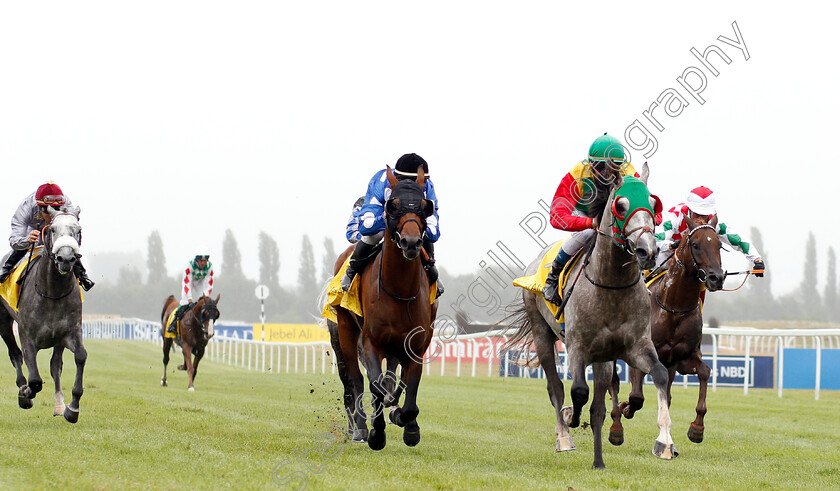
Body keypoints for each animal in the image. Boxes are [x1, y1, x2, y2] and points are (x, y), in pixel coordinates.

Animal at [0, 208, 86, 422]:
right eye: (53, 229)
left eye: (78, 230)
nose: (66, 259)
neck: (53, 292)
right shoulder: (27, 337)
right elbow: (35, 380)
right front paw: (25, 393)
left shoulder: (70, 332)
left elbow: (80, 356)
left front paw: (72, 408)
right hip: (3, 322)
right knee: (15, 354)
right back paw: (23, 388)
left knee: (55, 365)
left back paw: (59, 404)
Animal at [334, 167, 440, 452]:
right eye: (393, 206)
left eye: (425, 206)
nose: (411, 242)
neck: (399, 291)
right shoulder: (371, 341)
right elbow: (375, 385)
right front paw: (376, 433)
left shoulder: (416, 344)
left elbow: (408, 388)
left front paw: (408, 424)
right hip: (345, 331)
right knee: (356, 380)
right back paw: (360, 428)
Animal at [506, 164, 676, 468]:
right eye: (620, 205)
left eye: (653, 203)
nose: (647, 250)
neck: (612, 286)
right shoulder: (577, 346)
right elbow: (577, 392)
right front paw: (570, 416)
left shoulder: (636, 346)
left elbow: (659, 374)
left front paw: (664, 442)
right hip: (541, 332)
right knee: (555, 386)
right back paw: (564, 436)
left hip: (603, 357)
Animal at [612, 213, 724, 444]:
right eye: (696, 244)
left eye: (719, 245)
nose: (716, 277)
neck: (674, 308)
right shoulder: (641, 353)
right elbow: (635, 397)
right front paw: (624, 408)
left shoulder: (681, 357)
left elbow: (704, 372)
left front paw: (697, 427)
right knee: (612, 384)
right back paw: (615, 425)